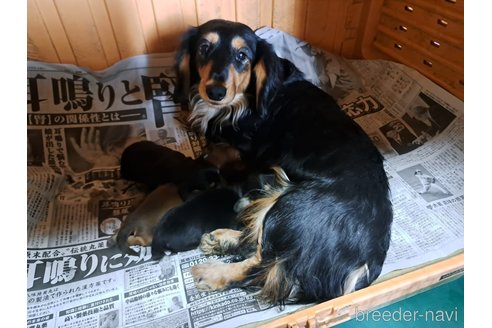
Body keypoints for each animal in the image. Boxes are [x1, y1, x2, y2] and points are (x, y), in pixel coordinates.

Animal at [175, 19, 394, 304]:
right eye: (203, 48)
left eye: (242, 56)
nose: (215, 91)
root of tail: (363, 264)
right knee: (258, 246)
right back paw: (222, 239)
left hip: (287, 204)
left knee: (262, 264)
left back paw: (213, 272)